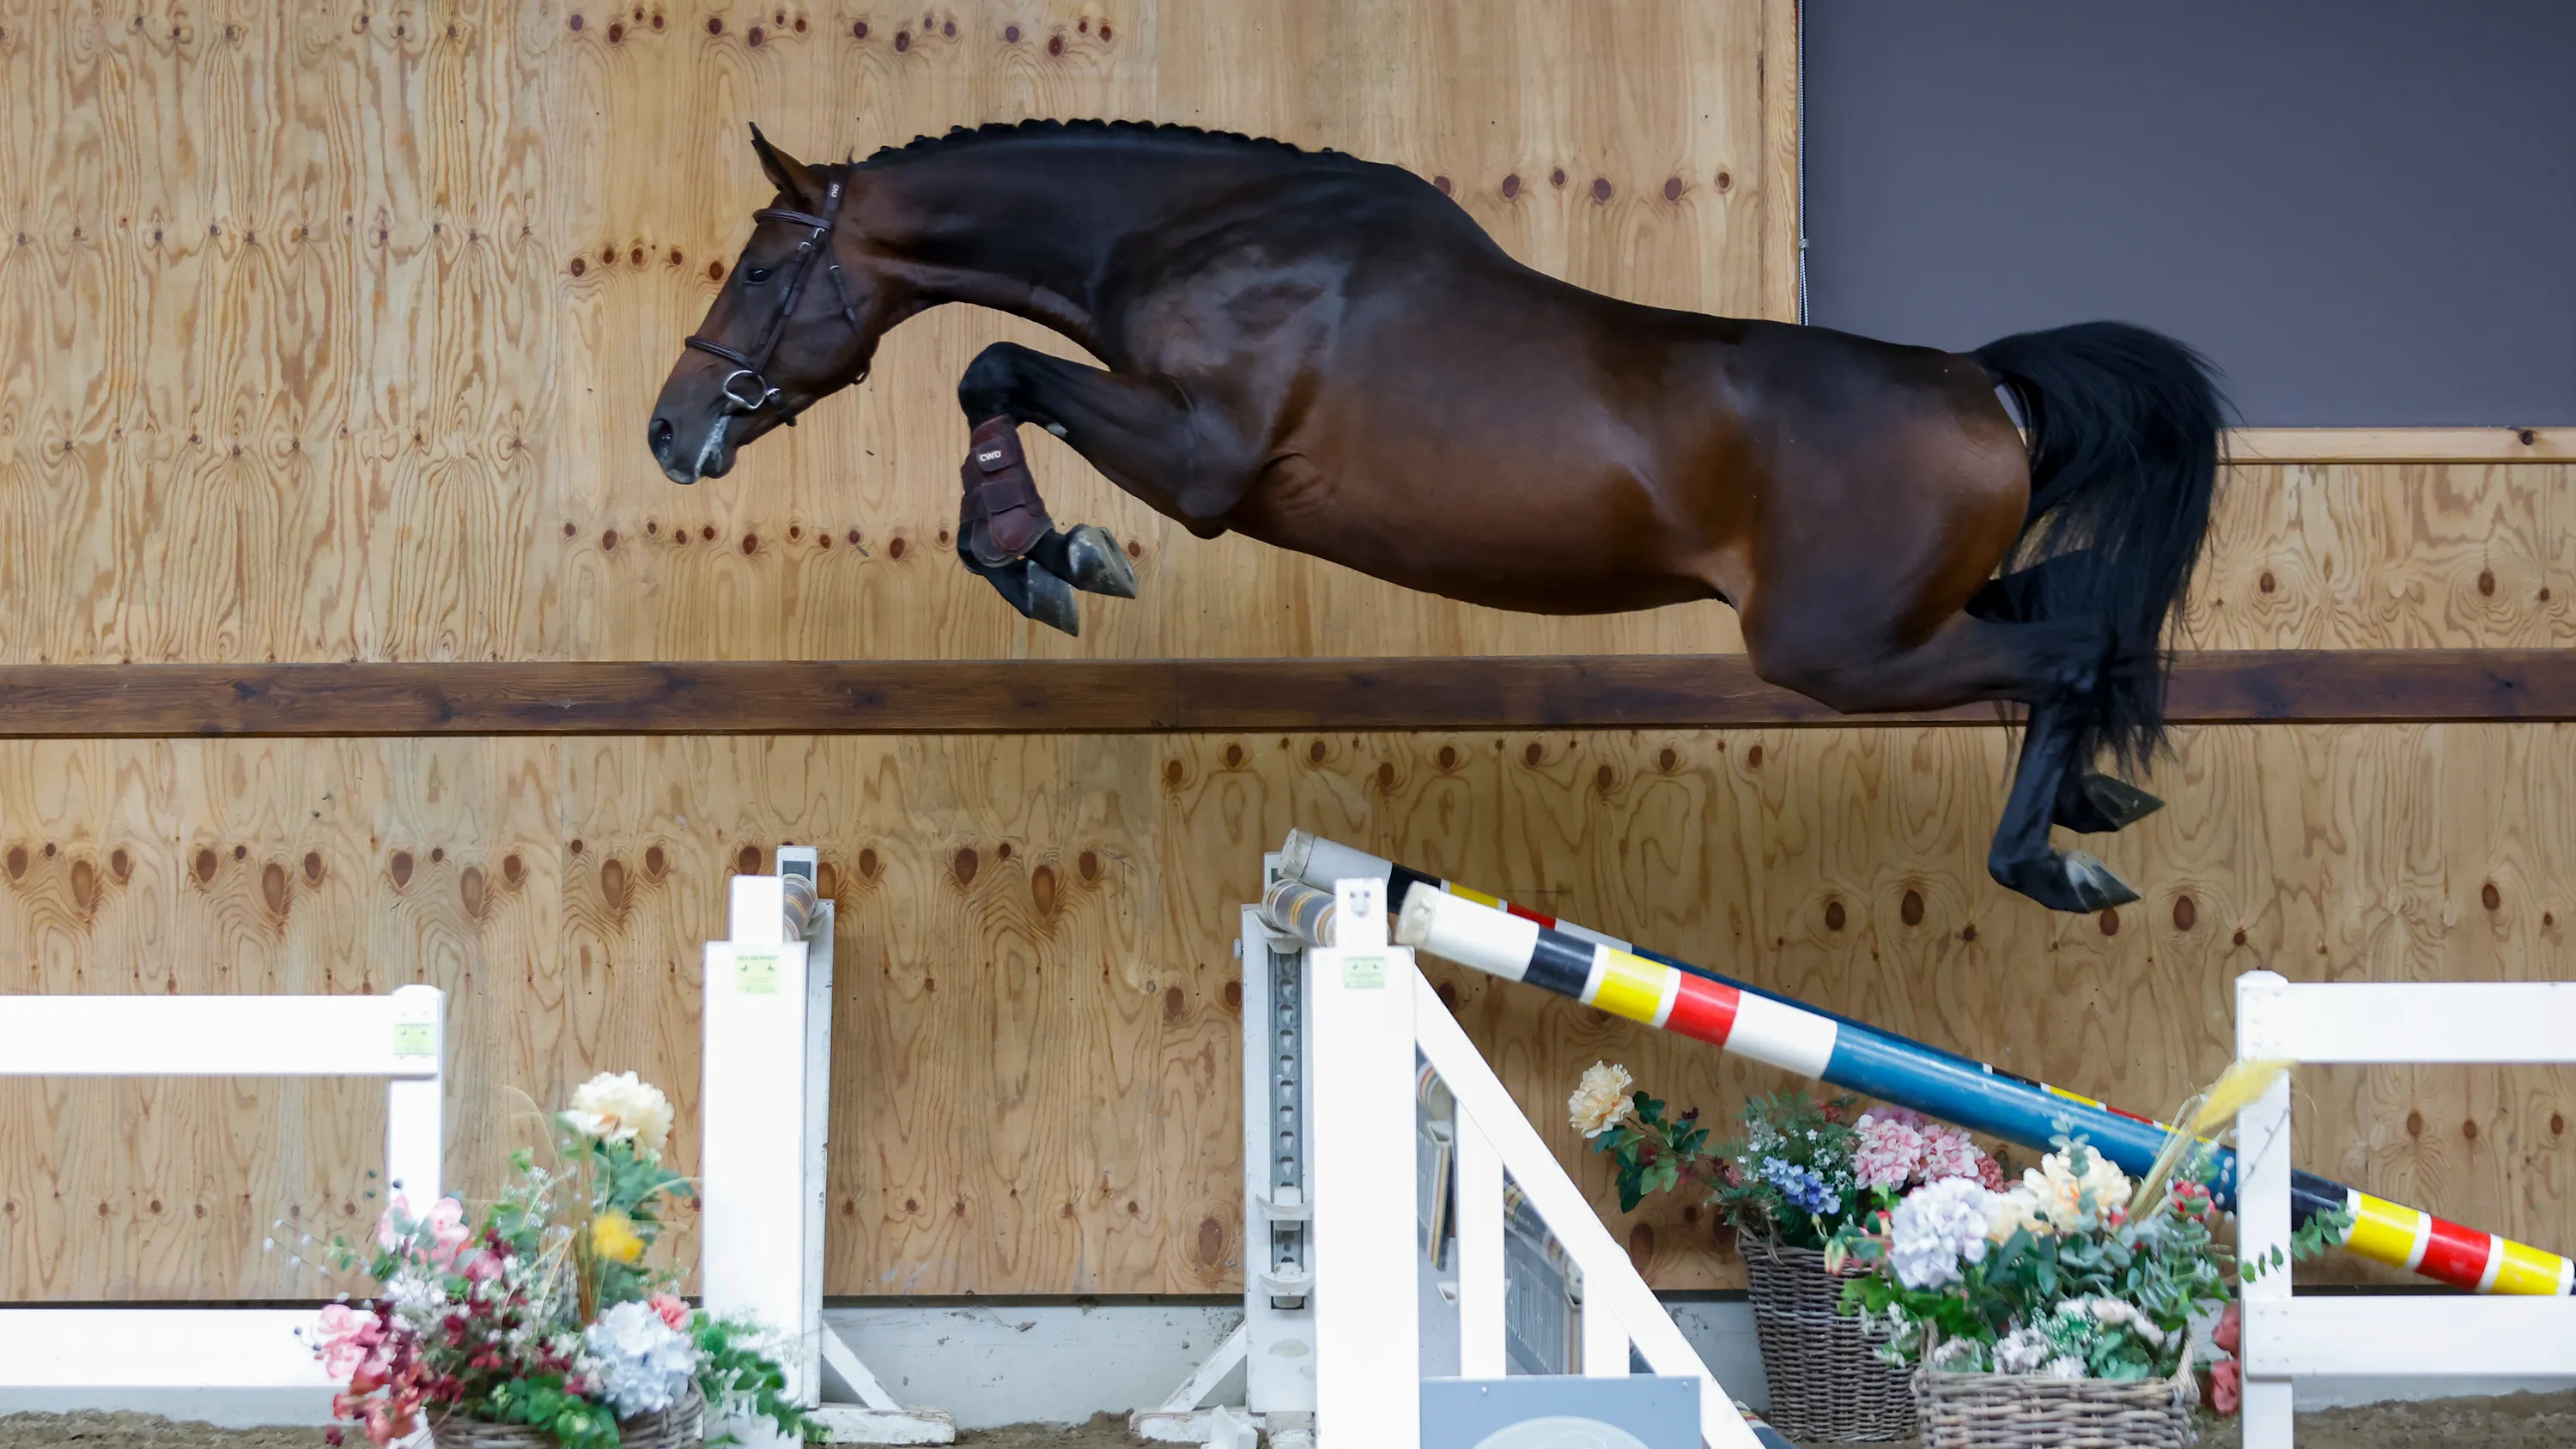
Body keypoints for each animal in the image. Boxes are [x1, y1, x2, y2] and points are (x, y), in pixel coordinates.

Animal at [649, 120, 2226, 916]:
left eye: (756, 269)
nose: (672, 432)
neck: (1207, 232)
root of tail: (1985, 385)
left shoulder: (1204, 462)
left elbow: (995, 369)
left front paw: (1047, 555)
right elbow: (1000, 376)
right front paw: (1045, 552)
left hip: (1841, 653)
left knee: (2076, 647)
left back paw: (2052, 857)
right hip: (1904, 620)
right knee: (2074, 614)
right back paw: (2094, 795)